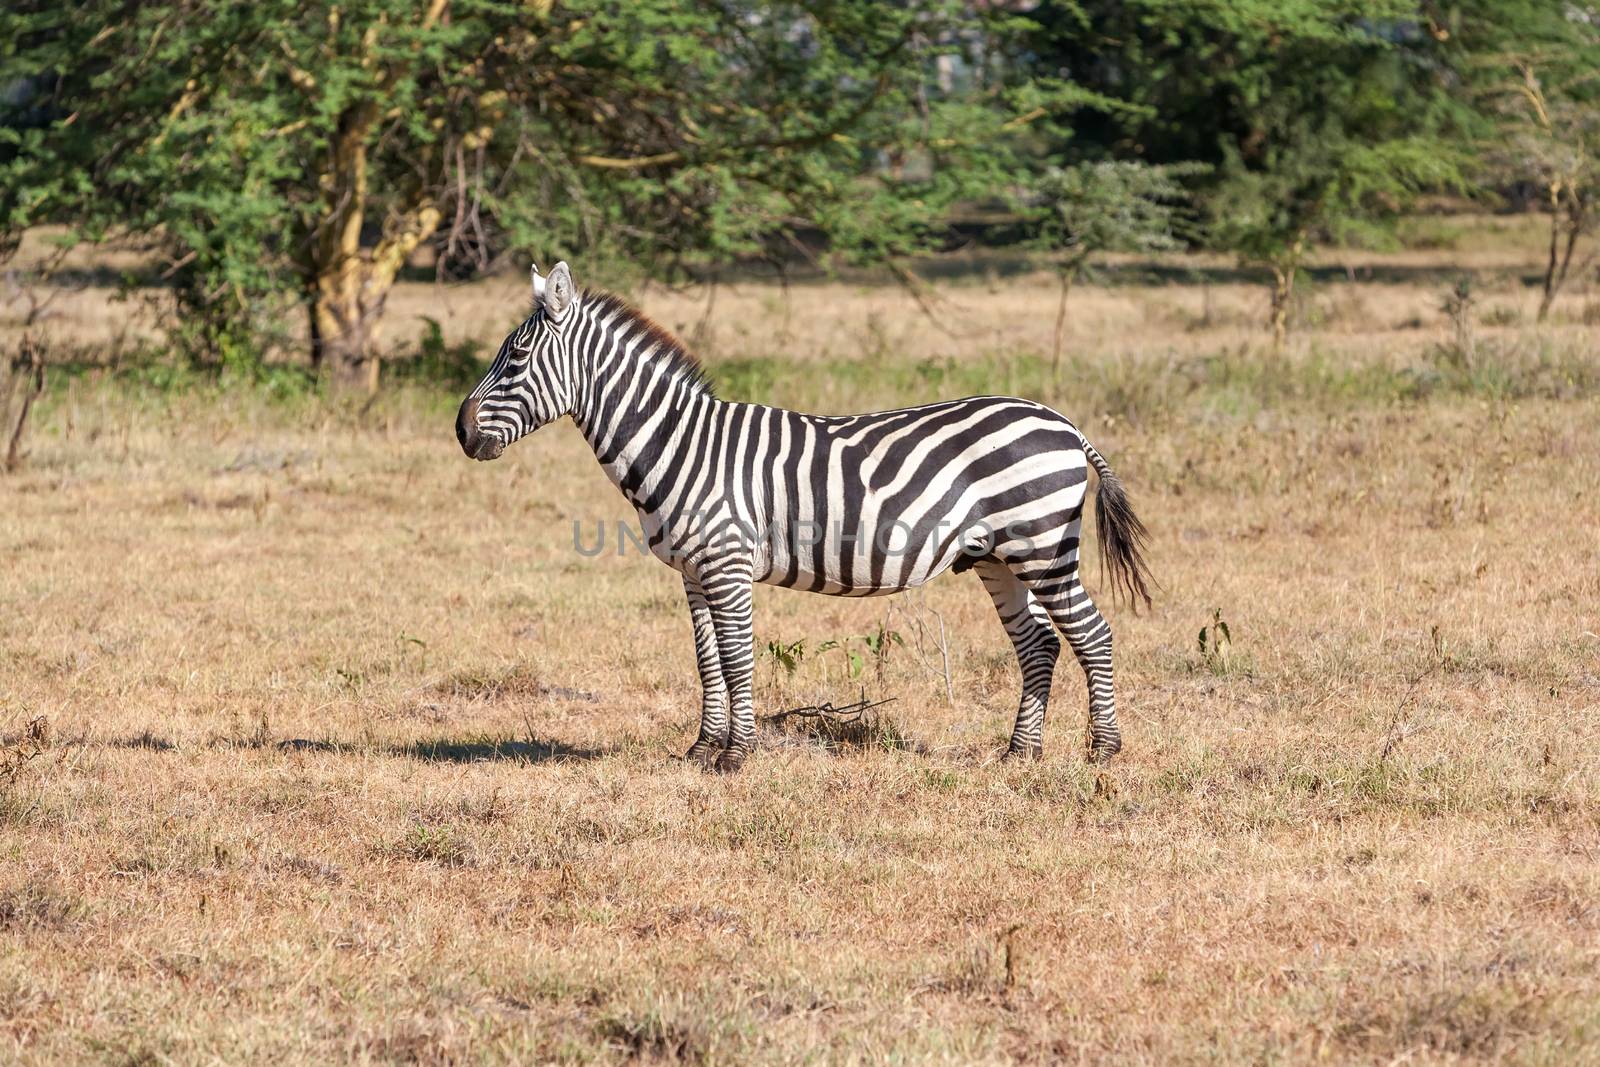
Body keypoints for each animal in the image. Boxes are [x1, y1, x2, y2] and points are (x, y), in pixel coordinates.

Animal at [454, 262, 1152, 771]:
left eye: (515, 359)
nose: (460, 432)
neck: (680, 440)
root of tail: (1061, 421)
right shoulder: (693, 571)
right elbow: (708, 661)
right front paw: (701, 750)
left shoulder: (728, 562)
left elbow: (737, 658)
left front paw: (736, 756)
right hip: (999, 557)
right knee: (1039, 644)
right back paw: (1019, 755)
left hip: (1042, 546)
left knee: (1093, 635)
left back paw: (1102, 752)